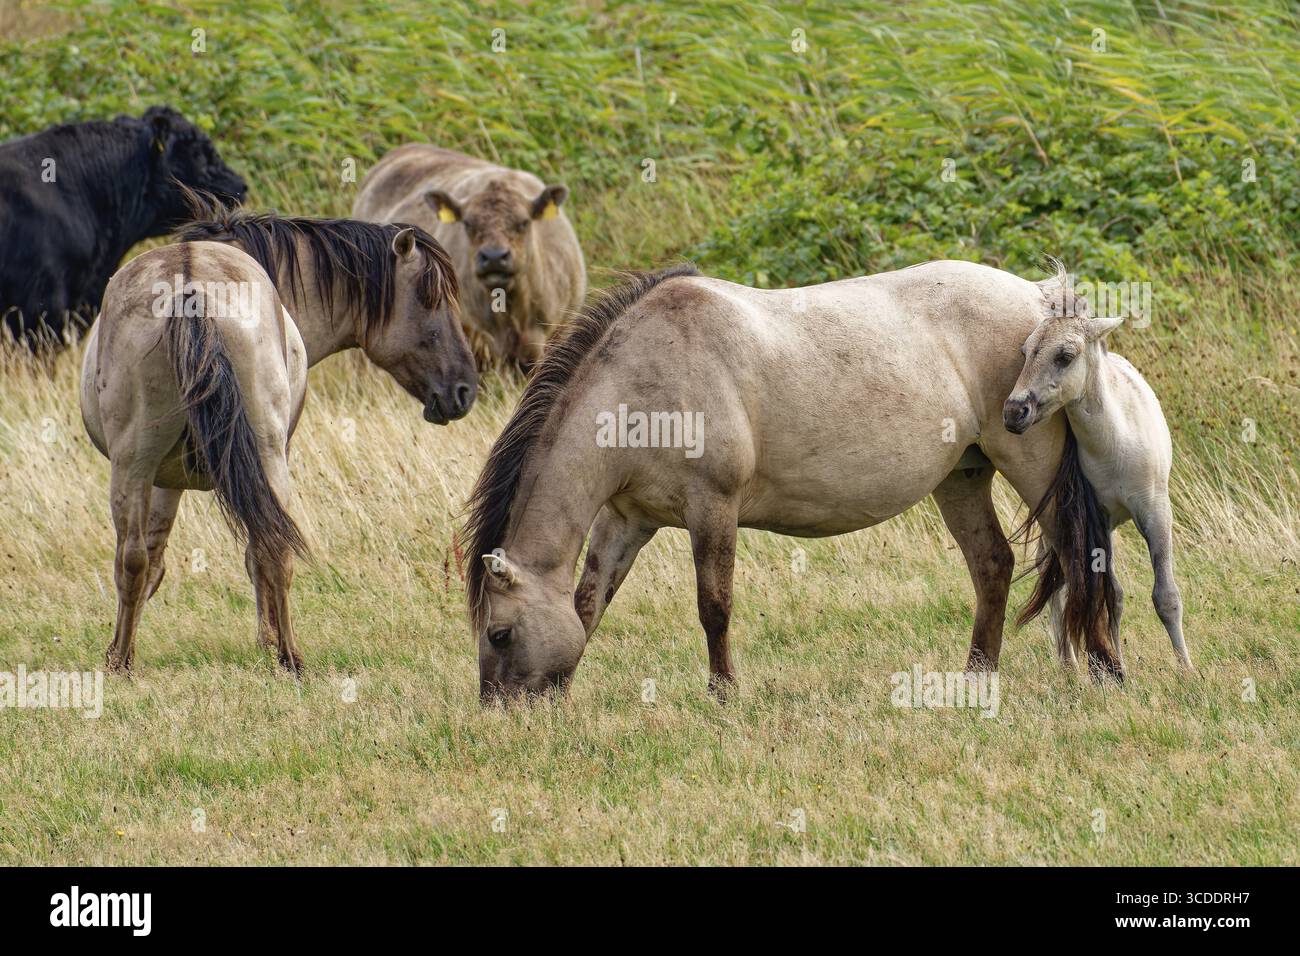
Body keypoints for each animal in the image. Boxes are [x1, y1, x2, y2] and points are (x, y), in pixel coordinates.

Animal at [80, 212, 476, 674]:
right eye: (430, 300)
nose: (465, 390)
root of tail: (191, 286)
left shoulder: (166, 480)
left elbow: (155, 561)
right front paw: (265, 639)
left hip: (138, 467)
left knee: (137, 558)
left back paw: (124, 660)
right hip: (249, 460)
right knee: (267, 550)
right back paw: (285, 656)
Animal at [464, 260, 1122, 701]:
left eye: (499, 633)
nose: (505, 715)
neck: (645, 382)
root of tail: (1040, 298)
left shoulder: (712, 509)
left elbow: (714, 606)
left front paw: (724, 694)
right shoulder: (626, 518)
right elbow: (588, 603)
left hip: (1032, 468)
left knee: (1080, 556)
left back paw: (1105, 670)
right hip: (961, 479)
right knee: (992, 565)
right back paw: (976, 679)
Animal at [1003, 308, 1192, 671]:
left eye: (1064, 356)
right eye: (1025, 352)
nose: (1014, 412)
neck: (1116, 445)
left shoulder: (1156, 511)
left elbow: (1166, 596)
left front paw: (1188, 671)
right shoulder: (1099, 518)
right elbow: (1112, 596)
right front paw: (1116, 665)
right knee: (1053, 576)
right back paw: (1068, 665)